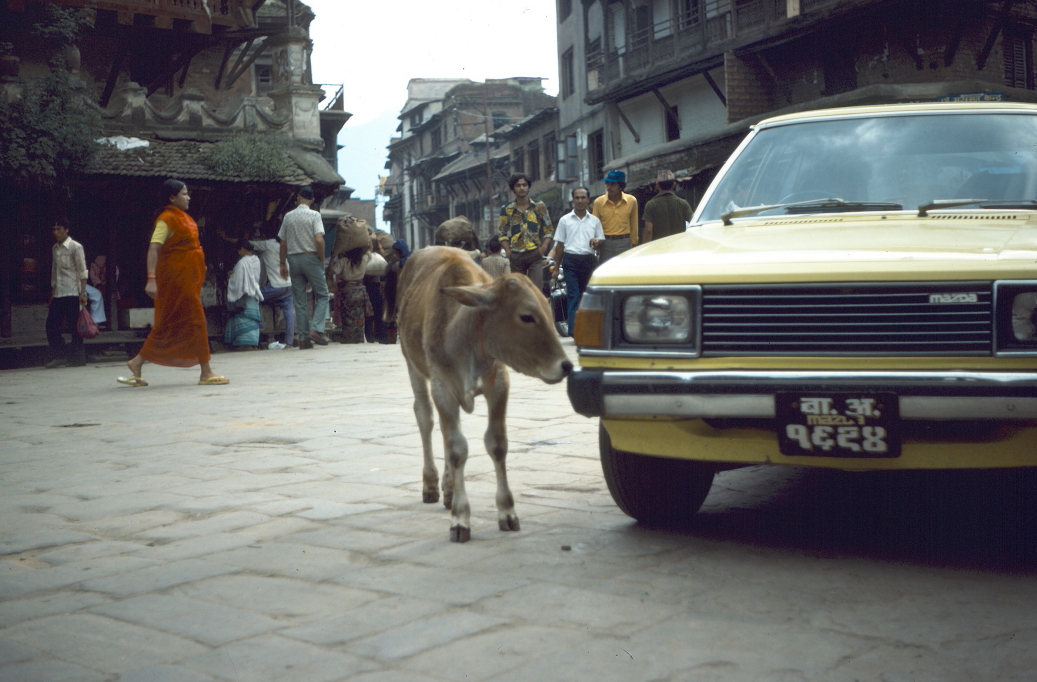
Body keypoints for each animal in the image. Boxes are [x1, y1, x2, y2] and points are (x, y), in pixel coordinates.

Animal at [398, 246, 576, 538]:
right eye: (526, 316)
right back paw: (431, 485)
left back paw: (448, 490)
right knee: (425, 418)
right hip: (412, 365)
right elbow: (456, 449)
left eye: (549, 311)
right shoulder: (442, 388)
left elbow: (496, 444)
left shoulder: (498, 383)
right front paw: (460, 519)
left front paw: (507, 512)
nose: (566, 366)